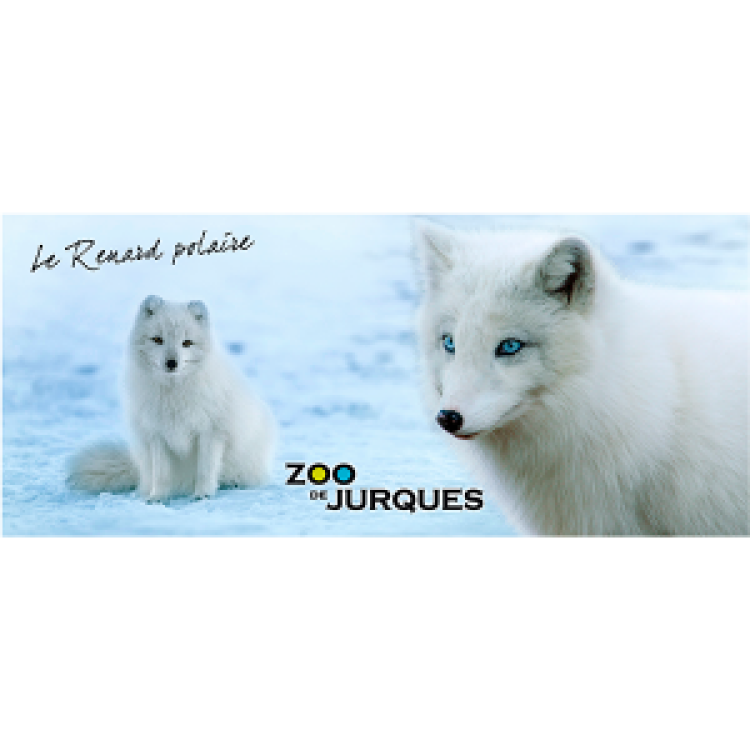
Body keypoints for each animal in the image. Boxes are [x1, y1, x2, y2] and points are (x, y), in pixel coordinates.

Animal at [67, 295, 275, 500]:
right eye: (158, 339)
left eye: (187, 342)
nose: (171, 363)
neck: (173, 394)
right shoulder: (157, 434)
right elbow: (161, 473)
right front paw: (157, 497)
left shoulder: (211, 432)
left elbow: (205, 469)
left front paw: (203, 494)